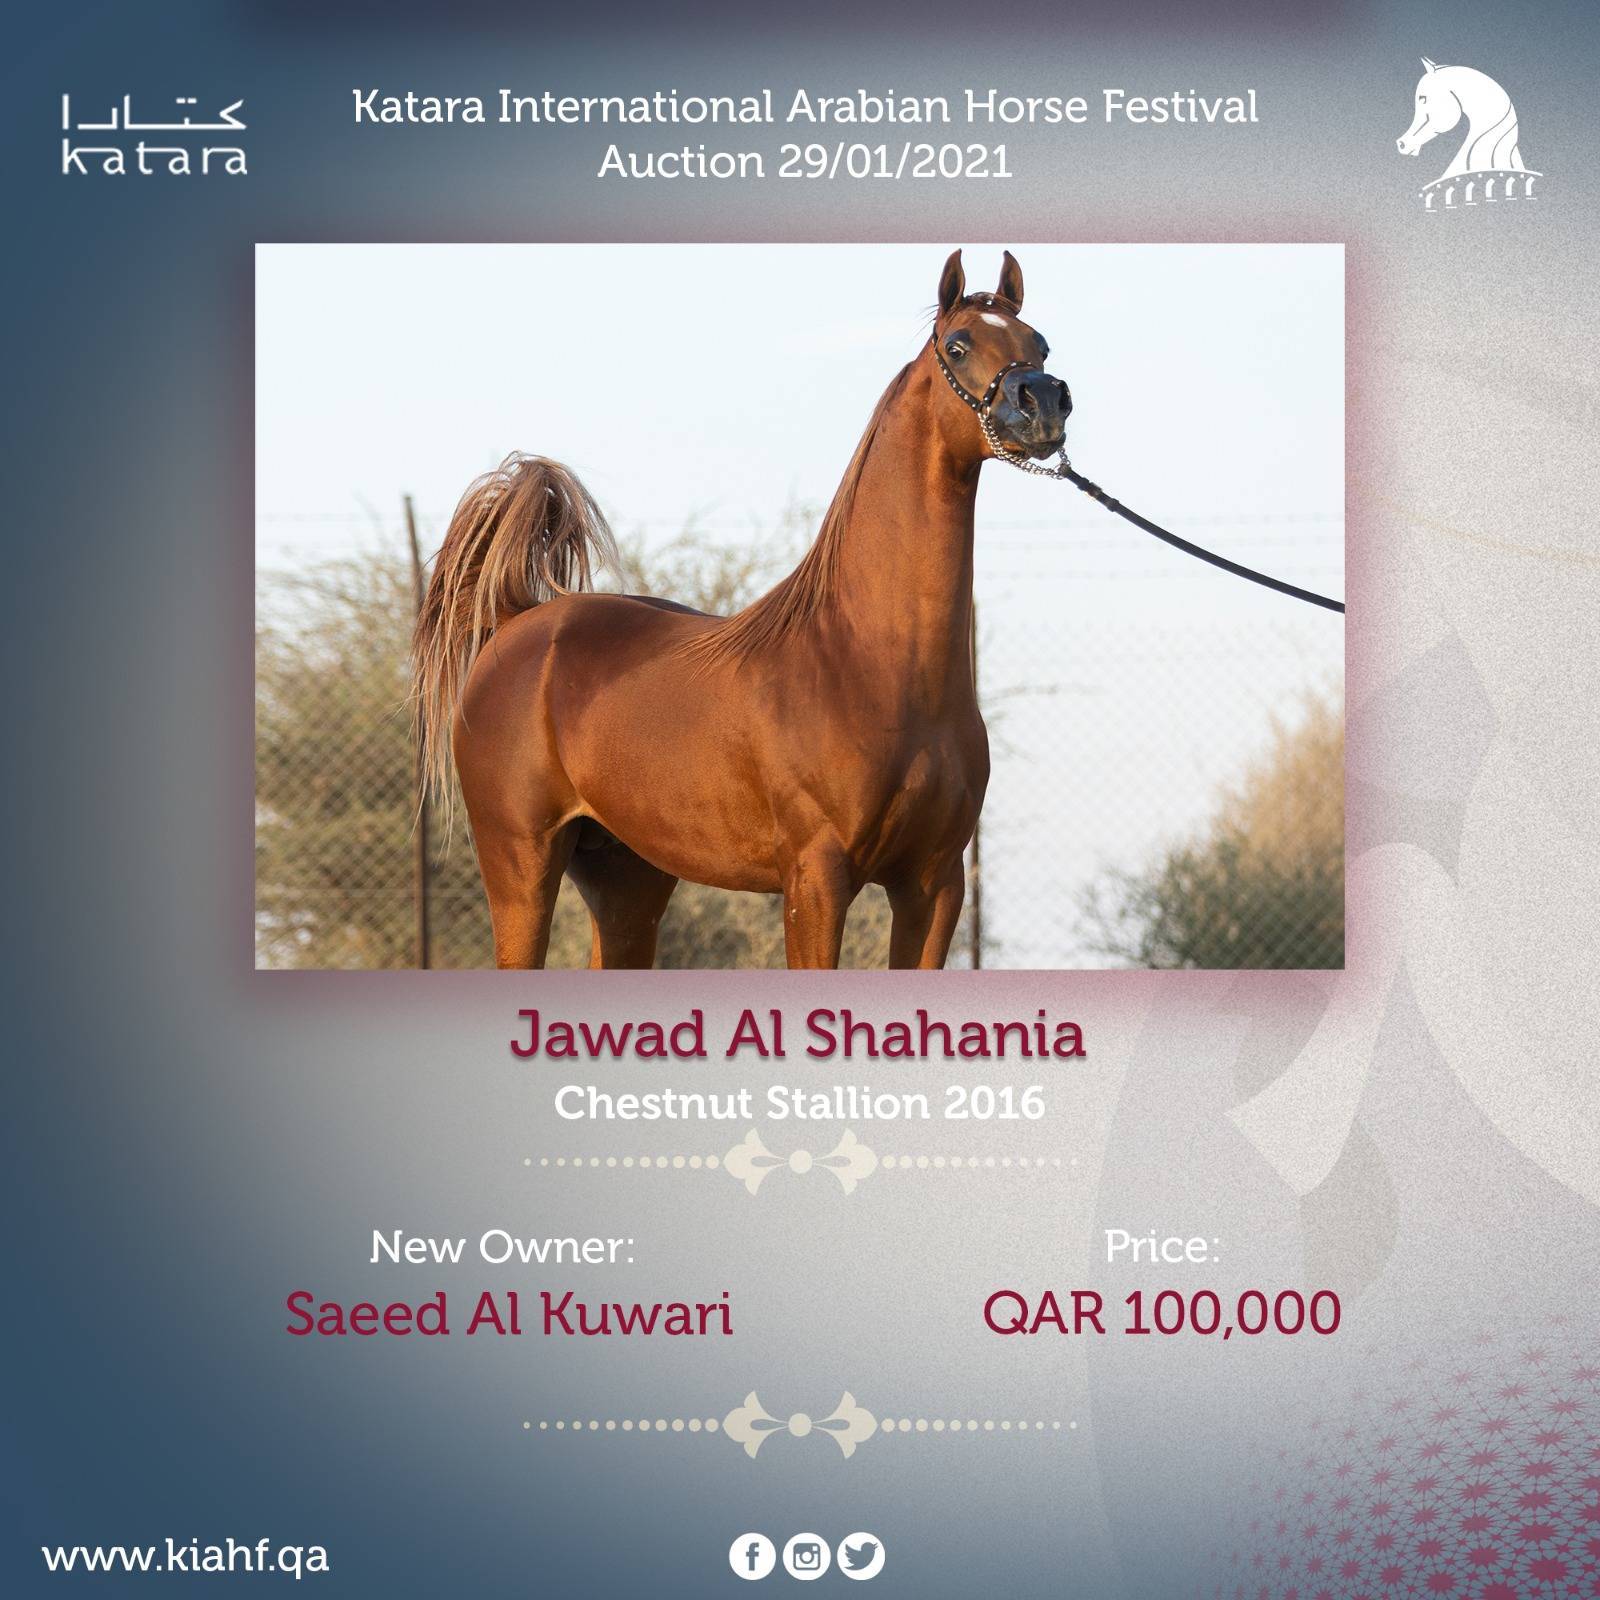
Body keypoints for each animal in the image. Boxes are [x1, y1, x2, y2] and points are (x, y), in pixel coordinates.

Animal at [412, 249, 1070, 970]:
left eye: (1040, 342)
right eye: (959, 345)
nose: (1044, 401)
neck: (871, 662)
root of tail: (517, 620)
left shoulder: (935, 883)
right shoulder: (815, 878)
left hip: (626, 878)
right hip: (520, 863)